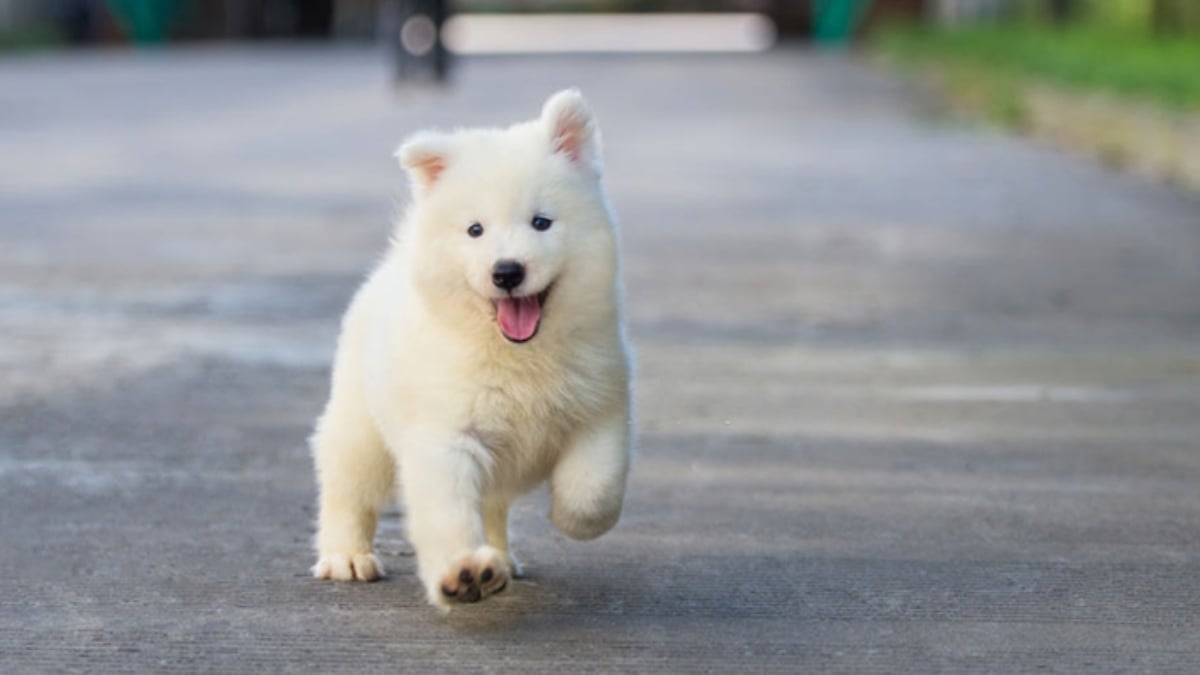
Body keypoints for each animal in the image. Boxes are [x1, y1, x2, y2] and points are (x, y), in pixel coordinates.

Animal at [309, 88, 633, 605]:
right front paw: (462, 571)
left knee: (494, 505)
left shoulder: (600, 409)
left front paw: (570, 519)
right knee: (346, 488)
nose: (507, 271)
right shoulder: (447, 434)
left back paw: (501, 559)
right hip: (361, 427)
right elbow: (448, 512)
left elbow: (595, 487)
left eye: (541, 222)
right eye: (475, 230)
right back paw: (347, 557)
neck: (518, 355)